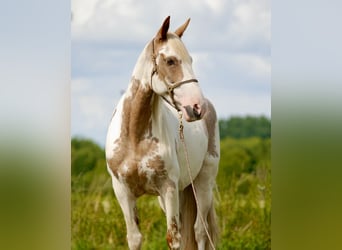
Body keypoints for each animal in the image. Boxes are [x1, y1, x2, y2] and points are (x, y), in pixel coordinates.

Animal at [105, 16, 220, 249]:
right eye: (170, 61)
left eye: (191, 60)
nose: (197, 107)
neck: (135, 137)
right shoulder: (123, 192)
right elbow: (135, 238)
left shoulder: (168, 187)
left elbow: (173, 238)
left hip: (203, 183)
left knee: (199, 231)